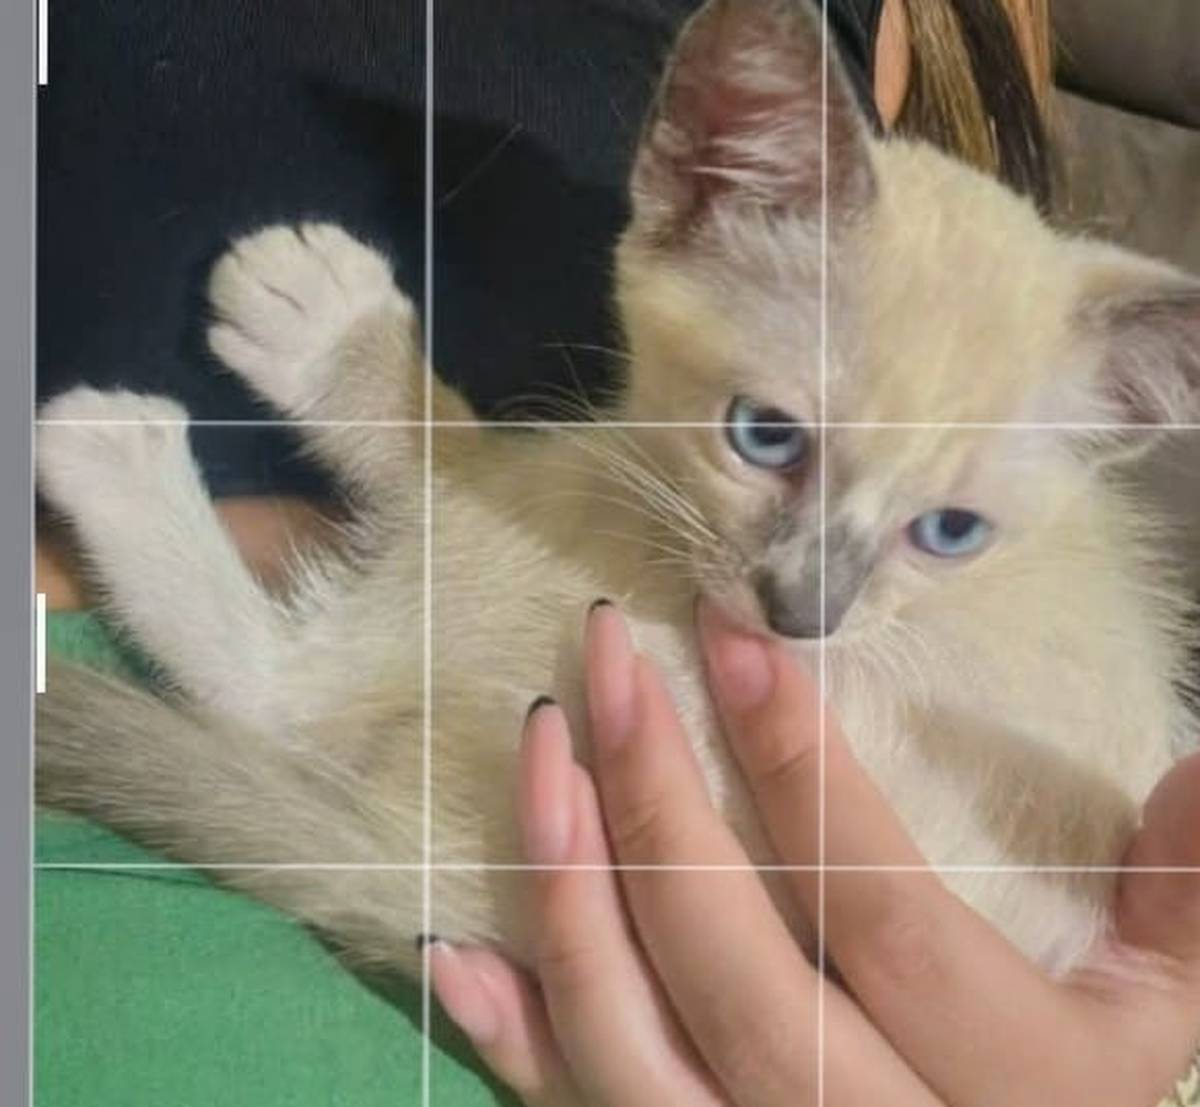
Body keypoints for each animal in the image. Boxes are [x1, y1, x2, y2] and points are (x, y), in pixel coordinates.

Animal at [36, 0, 1200, 984]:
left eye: (950, 531)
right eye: (765, 436)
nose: (802, 618)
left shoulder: (566, 503)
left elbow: (432, 442)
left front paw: (321, 327)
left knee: (290, 689)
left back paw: (113, 444)